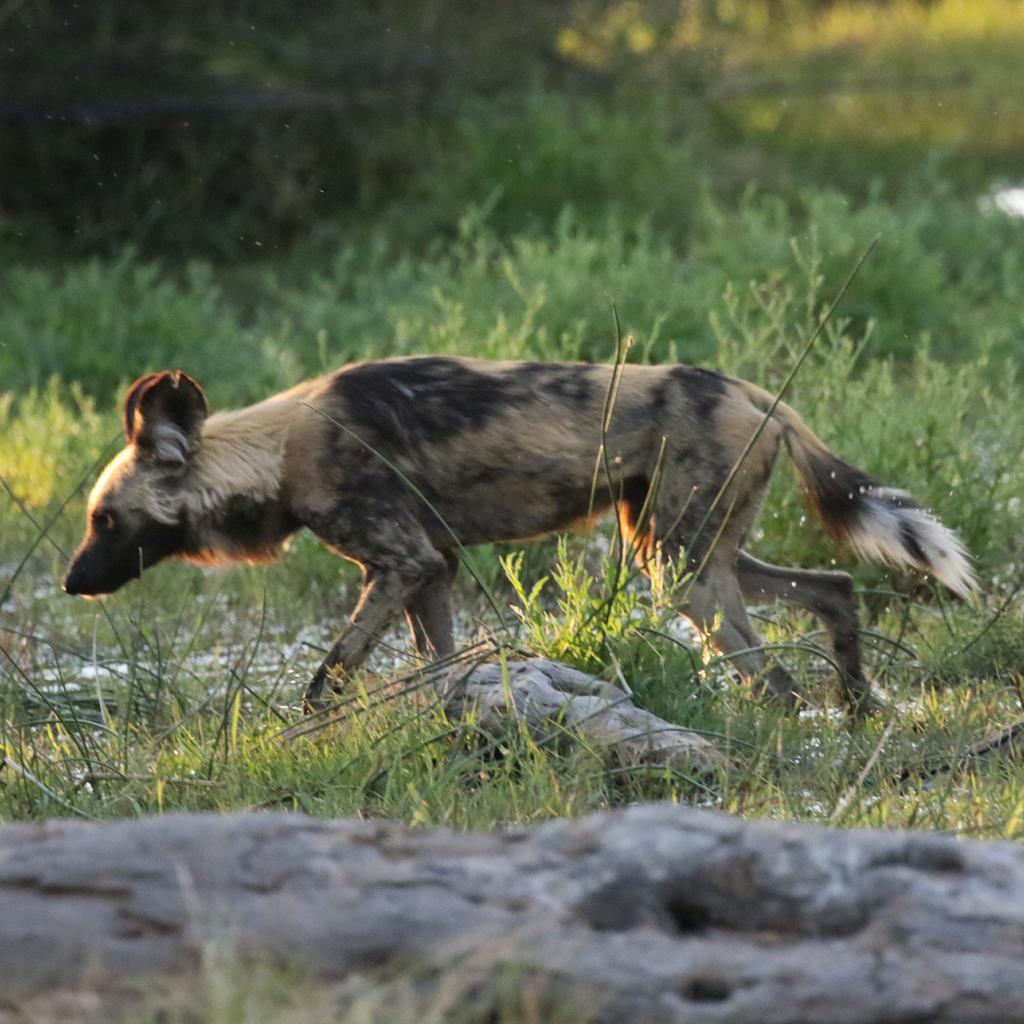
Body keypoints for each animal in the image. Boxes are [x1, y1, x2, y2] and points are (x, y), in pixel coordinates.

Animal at [64, 360, 974, 712]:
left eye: (105, 519)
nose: (72, 582)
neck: (280, 448)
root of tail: (757, 392)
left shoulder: (399, 564)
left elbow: (328, 674)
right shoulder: (430, 573)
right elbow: (435, 666)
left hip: (679, 571)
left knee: (774, 679)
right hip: (687, 551)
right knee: (834, 590)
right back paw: (856, 710)